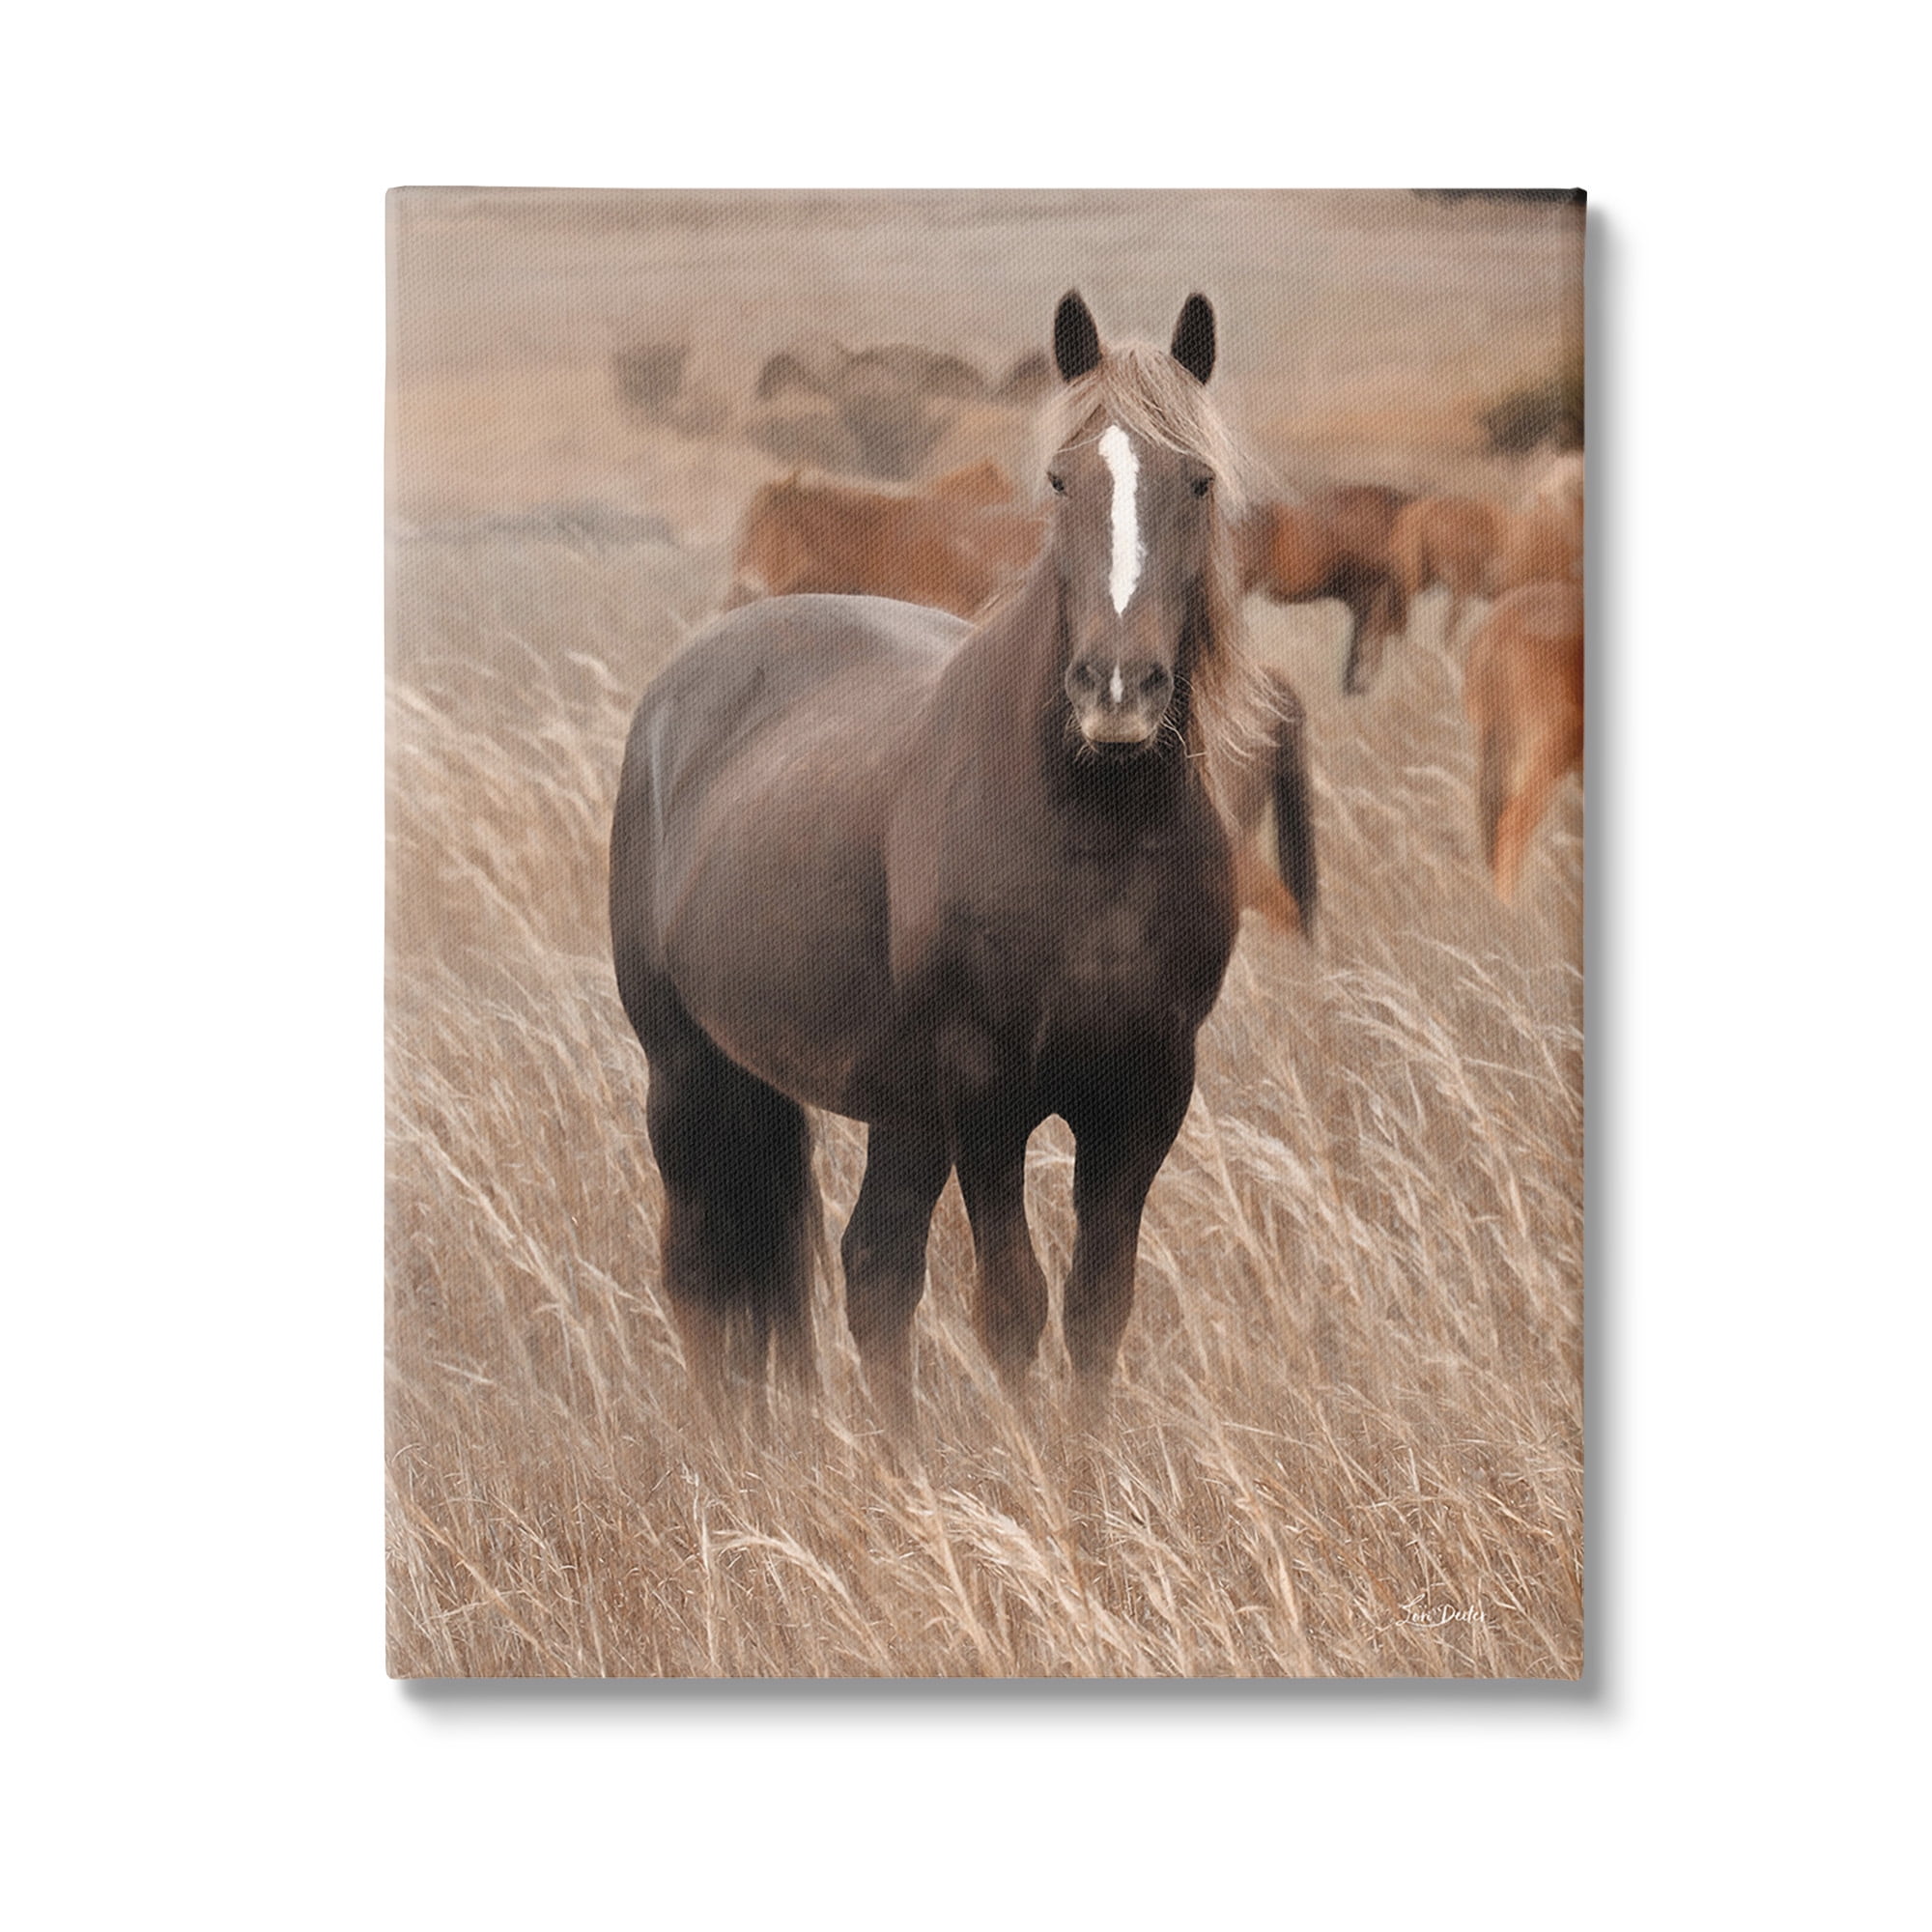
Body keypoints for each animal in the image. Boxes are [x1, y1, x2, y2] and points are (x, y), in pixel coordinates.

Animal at [610, 290, 1298, 1429]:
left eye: (1196, 480)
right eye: (1061, 479)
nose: (1118, 691)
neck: (1089, 835)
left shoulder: (1143, 1097)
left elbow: (1095, 1311)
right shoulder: (986, 1099)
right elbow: (1011, 1308)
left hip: (895, 1108)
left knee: (870, 1272)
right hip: (688, 1066)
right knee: (700, 1273)